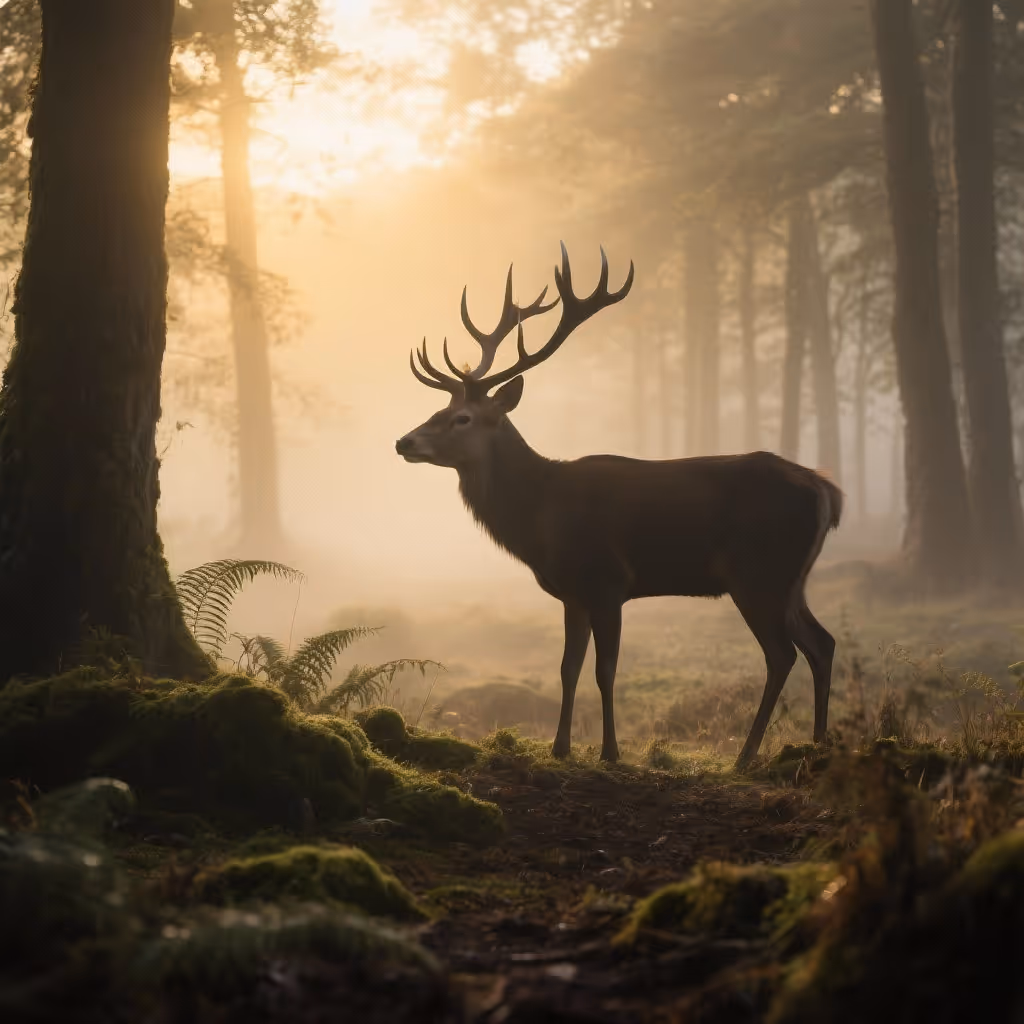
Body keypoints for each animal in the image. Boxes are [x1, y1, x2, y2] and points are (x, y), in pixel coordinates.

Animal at [396, 243, 842, 768]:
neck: (541, 519)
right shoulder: (571, 593)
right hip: (791, 579)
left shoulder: (609, 580)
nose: (404, 441)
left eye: (462, 418)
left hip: (758, 572)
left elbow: (604, 670)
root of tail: (827, 491)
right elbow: (567, 667)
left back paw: (747, 754)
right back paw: (817, 747)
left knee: (782, 653)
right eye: (438, 411)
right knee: (822, 643)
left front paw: (609, 751)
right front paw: (561, 747)